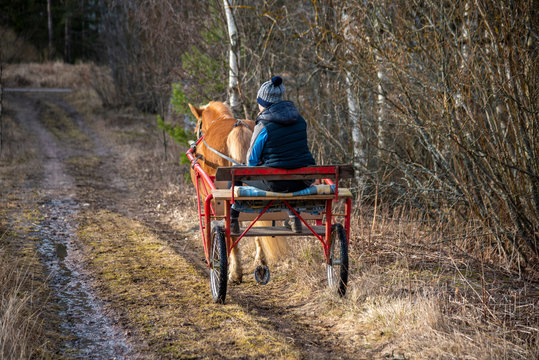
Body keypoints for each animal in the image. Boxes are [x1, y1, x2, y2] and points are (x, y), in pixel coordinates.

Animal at [190, 102, 292, 284]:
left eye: (198, 128)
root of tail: (239, 127)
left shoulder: (207, 197)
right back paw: (260, 264)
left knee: (231, 230)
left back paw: (235, 272)